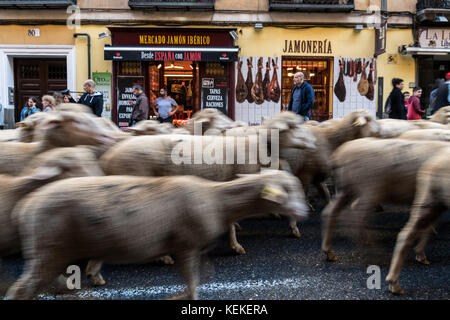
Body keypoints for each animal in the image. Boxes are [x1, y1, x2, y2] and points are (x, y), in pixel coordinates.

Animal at [7, 170, 310, 300]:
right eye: (287, 190)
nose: (306, 211)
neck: (216, 199)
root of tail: (26, 206)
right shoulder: (186, 245)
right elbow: (192, 282)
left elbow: (196, 280)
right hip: (48, 249)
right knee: (21, 289)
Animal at [320, 139, 450, 262]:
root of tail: (338, 156)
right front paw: (421, 253)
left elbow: (429, 225)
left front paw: (420, 252)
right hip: (369, 189)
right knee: (356, 215)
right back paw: (373, 250)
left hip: (348, 189)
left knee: (331, 212)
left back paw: (329, 252)